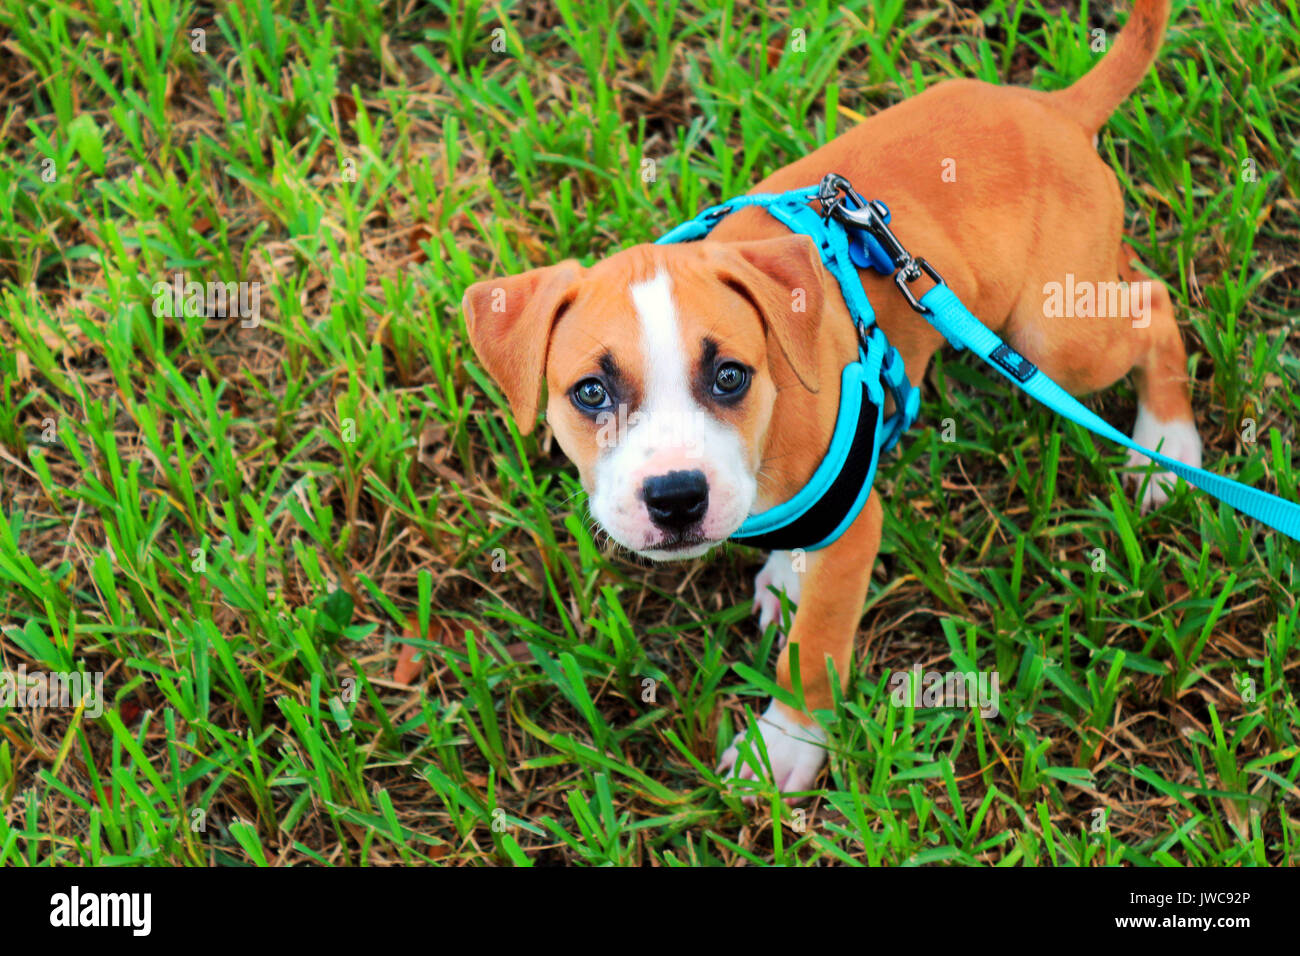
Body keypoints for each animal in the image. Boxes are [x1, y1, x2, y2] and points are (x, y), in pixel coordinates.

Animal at [460, 0, 1196, 790]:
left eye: (730, 376)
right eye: (590, 392)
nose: (677, 497)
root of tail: (1054, 108)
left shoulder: (854, 527)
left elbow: (814, 648)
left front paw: (785, 740)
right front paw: (786, 575)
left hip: (1051, 337)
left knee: (1154, 307)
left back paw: (1165, 445)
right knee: (1130, 276)